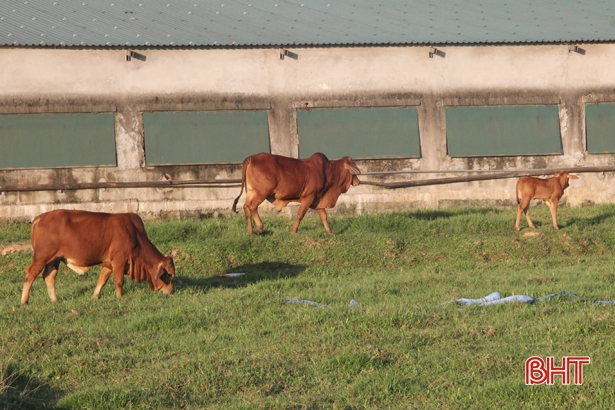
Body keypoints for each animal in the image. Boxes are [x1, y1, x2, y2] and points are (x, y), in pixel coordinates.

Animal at [21, 211, 176, 304]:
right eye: (169, 274)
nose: (171, 292)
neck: (135, 235)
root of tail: (40, 218)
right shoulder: (119, 260)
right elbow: (119, 281)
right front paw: (120, 297)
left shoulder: (109, 264)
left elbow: (102, 280)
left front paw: (95, 296)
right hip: (42, 257)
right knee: (30, 274)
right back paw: (24, 301)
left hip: (54, 260)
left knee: (49, 276)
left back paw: (55, 300)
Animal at [233, 151, 364, 235]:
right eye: (353, 167)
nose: (358, 181)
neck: (328, 172)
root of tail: (251, 158)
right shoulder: (308, 197)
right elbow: (300, 215)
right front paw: (293, 231)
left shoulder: (317, 199)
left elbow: (324, 216)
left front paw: (330, 232)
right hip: (262, 193)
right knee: (252, 206)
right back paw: (260, 228)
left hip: (251, 192)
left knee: (246, 207)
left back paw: (250, 232)